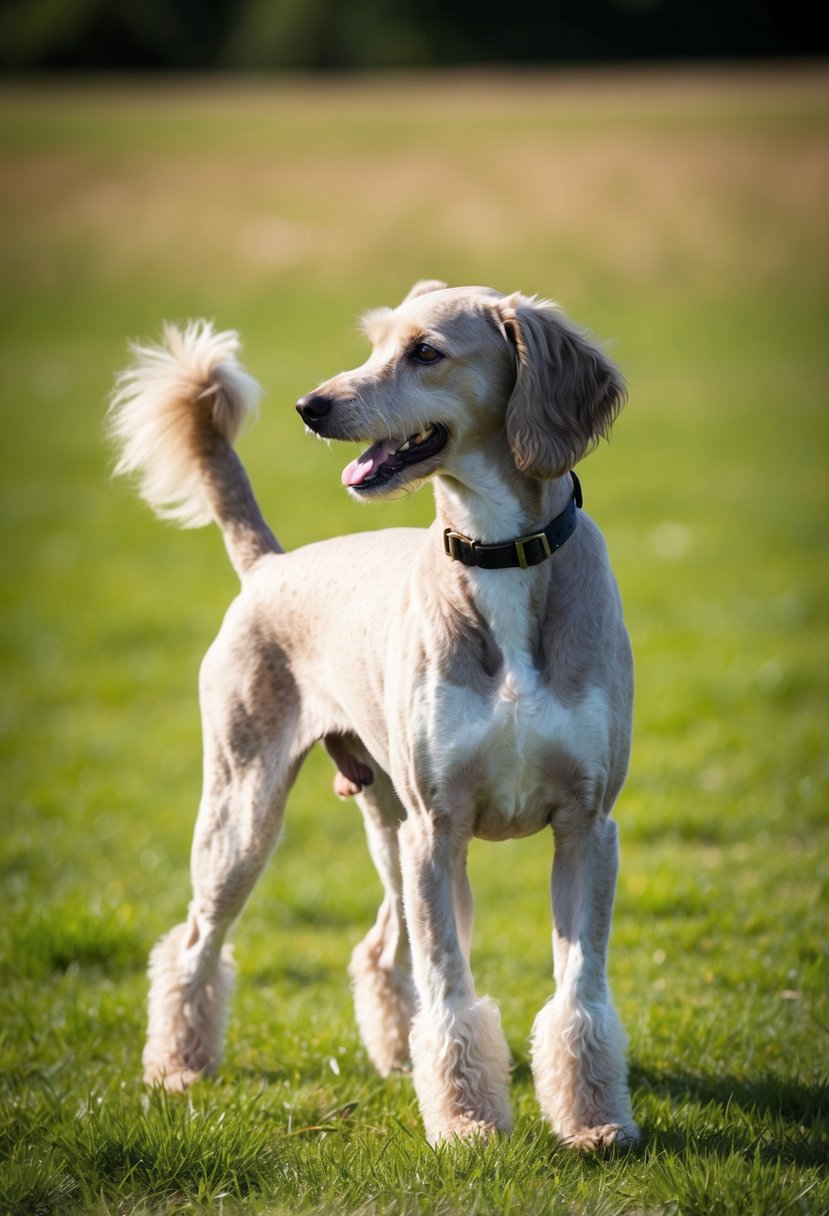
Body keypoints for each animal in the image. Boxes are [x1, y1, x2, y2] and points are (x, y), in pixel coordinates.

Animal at [110, 282, 636, 1147]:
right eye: (374, 343)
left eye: (425, 352)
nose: (310, 405)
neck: (497, 553)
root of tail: (271, 565)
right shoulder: (439, 828)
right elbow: (451, 993)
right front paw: (464, 1121)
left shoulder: (585, 826)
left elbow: (578, 995)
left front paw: (594, 1123)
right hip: (248, 811)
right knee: (193, 943)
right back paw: (178, 1066)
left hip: (392, 829)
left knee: (380, 950)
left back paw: (395, 1057)